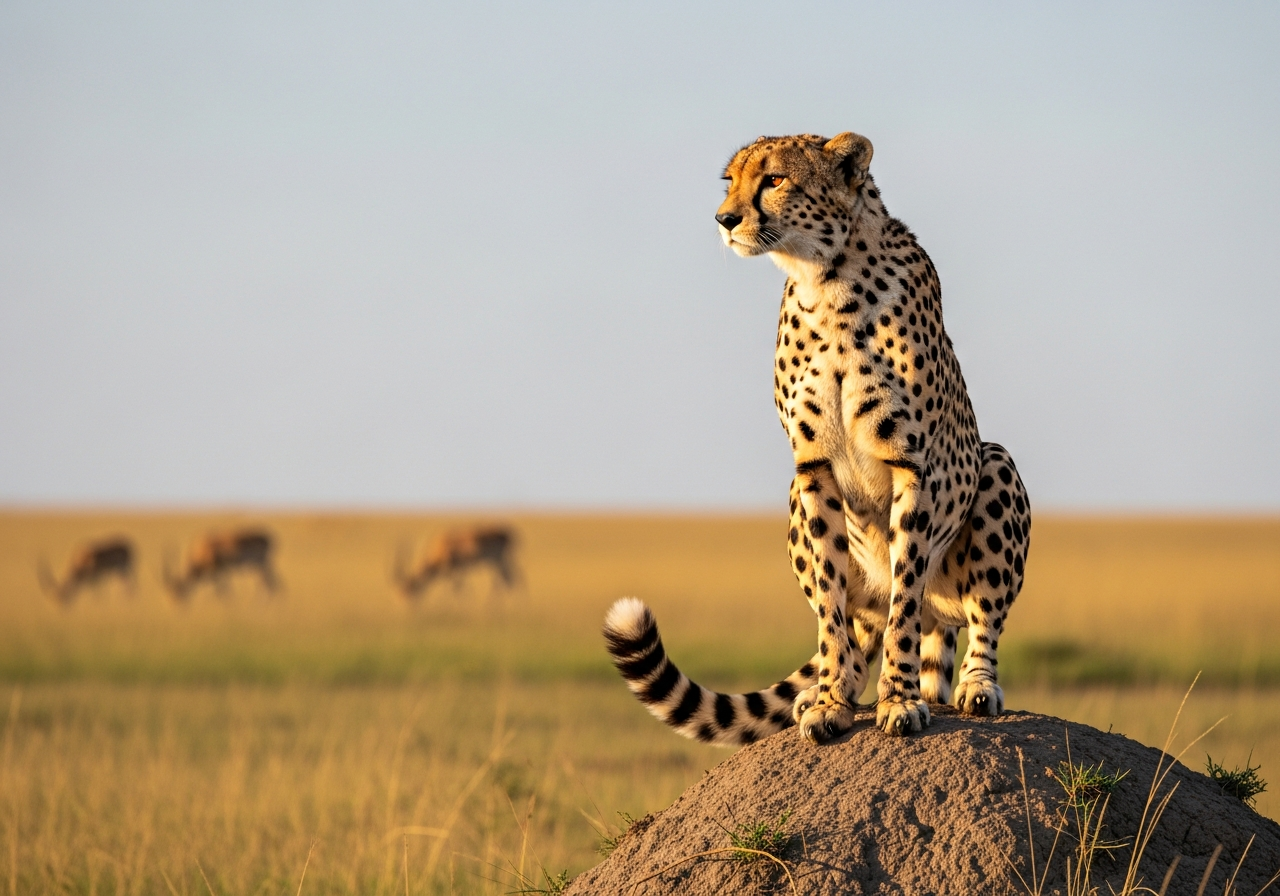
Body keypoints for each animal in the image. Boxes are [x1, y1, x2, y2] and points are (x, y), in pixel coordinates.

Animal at [604, 131, 1030, 745]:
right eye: (729, 180)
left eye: (775, 179)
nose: (724, 219)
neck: (827, 283)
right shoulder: (812, 468)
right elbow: (830, 601)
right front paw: (831, 701)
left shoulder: (912, 464)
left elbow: (905, 598)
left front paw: (898, 701)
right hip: (796, 501)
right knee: (865, 632)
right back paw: (838, 684)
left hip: (993, 468)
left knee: (966, 621)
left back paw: (974, 685)